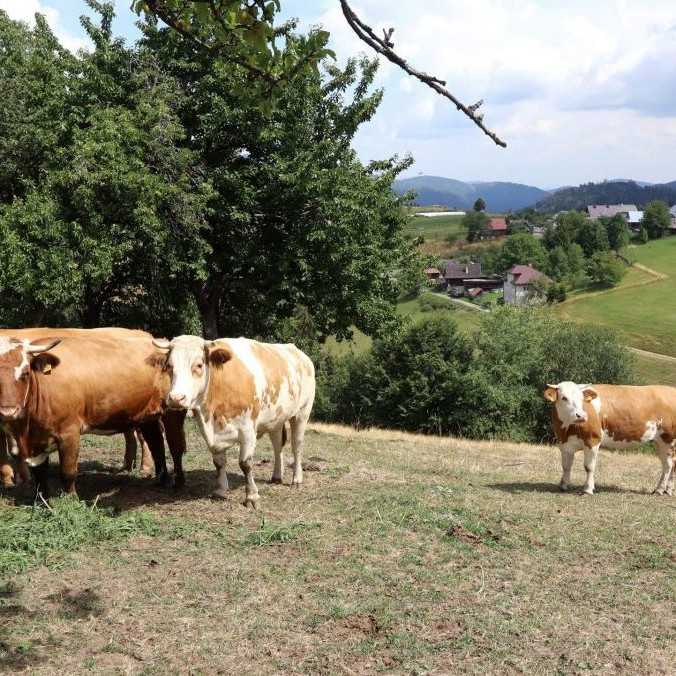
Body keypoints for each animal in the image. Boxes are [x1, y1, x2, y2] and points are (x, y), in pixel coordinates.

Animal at [0, 332, 185, 496]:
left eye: (25, 373)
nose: (8, 411)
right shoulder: (37, 439)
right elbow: (39, 473)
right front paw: (41, 499)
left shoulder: (69, 432)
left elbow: (67, 471)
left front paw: (70, 500)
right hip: (147, 416)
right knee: (156, 443)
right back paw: (161, 479)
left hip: (173, 410)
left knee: (175, 445)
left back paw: (178, 482)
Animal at [153, 336, 314, 504]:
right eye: (169, 366)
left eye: (199, 365)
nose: (176, 398)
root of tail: (301, 354)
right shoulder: (212, 434)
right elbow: (218, 463)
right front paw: (220, 490)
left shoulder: (248, 430)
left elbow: (245, 463)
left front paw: (252, 495)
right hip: (276, 418)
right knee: (277, 445)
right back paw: (276, 476)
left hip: (302, 413)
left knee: (297, 446)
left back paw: (297, 479)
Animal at [544, 380, 676, 496]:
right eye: (564, 398)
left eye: (582, 399)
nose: (581, 415)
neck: (566, 430)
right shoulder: (564, 444)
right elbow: (566, 466)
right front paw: (563, 485)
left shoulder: (593, 440)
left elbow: (589, 467)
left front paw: (588, 489)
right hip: (659, 442)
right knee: (670, 464)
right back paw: (667, 490)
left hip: (668, 439)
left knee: (668, 465)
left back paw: (659, 490)